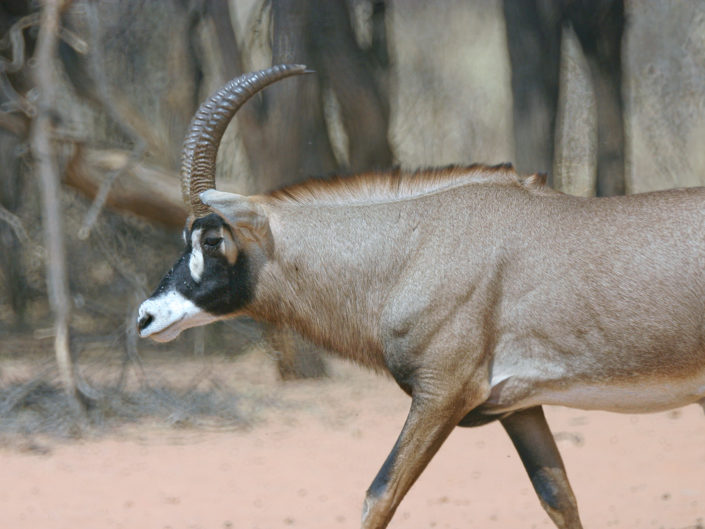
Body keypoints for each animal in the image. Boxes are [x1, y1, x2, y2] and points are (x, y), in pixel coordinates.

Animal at [137, 64, 705, 529]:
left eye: (212, 239)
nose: (146, 316)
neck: (415, 247)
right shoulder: (518, 407)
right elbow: (559, 497)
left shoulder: (441, 395)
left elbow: (379, 496)